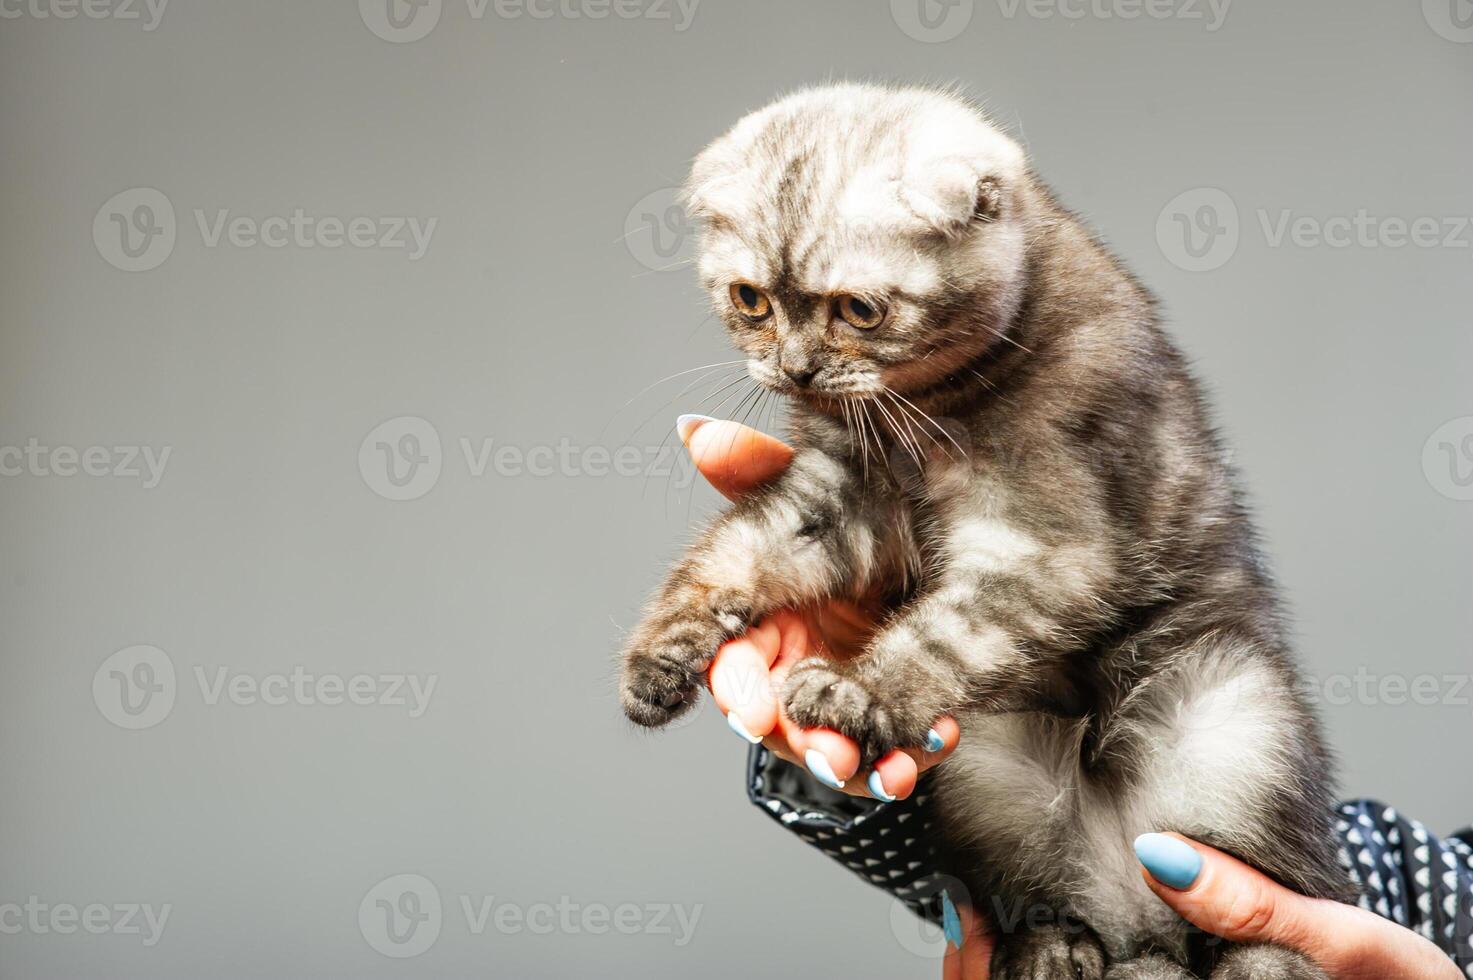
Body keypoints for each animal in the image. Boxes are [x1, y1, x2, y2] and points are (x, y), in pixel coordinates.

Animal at [615, 85, 1349, 978]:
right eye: (750, 299)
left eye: (859, 310)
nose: (794, 368)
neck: (924, 422)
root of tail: (1138, 920)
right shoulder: (839, 498)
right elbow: (740, 552)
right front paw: (661, 655)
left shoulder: (1048, 545)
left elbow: (944, 632)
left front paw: (854, 691)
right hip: (990, 766)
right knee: (1049, 902)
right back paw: (1052, 950)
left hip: (1233, 720)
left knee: (1285, 897)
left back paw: (1257, 961)